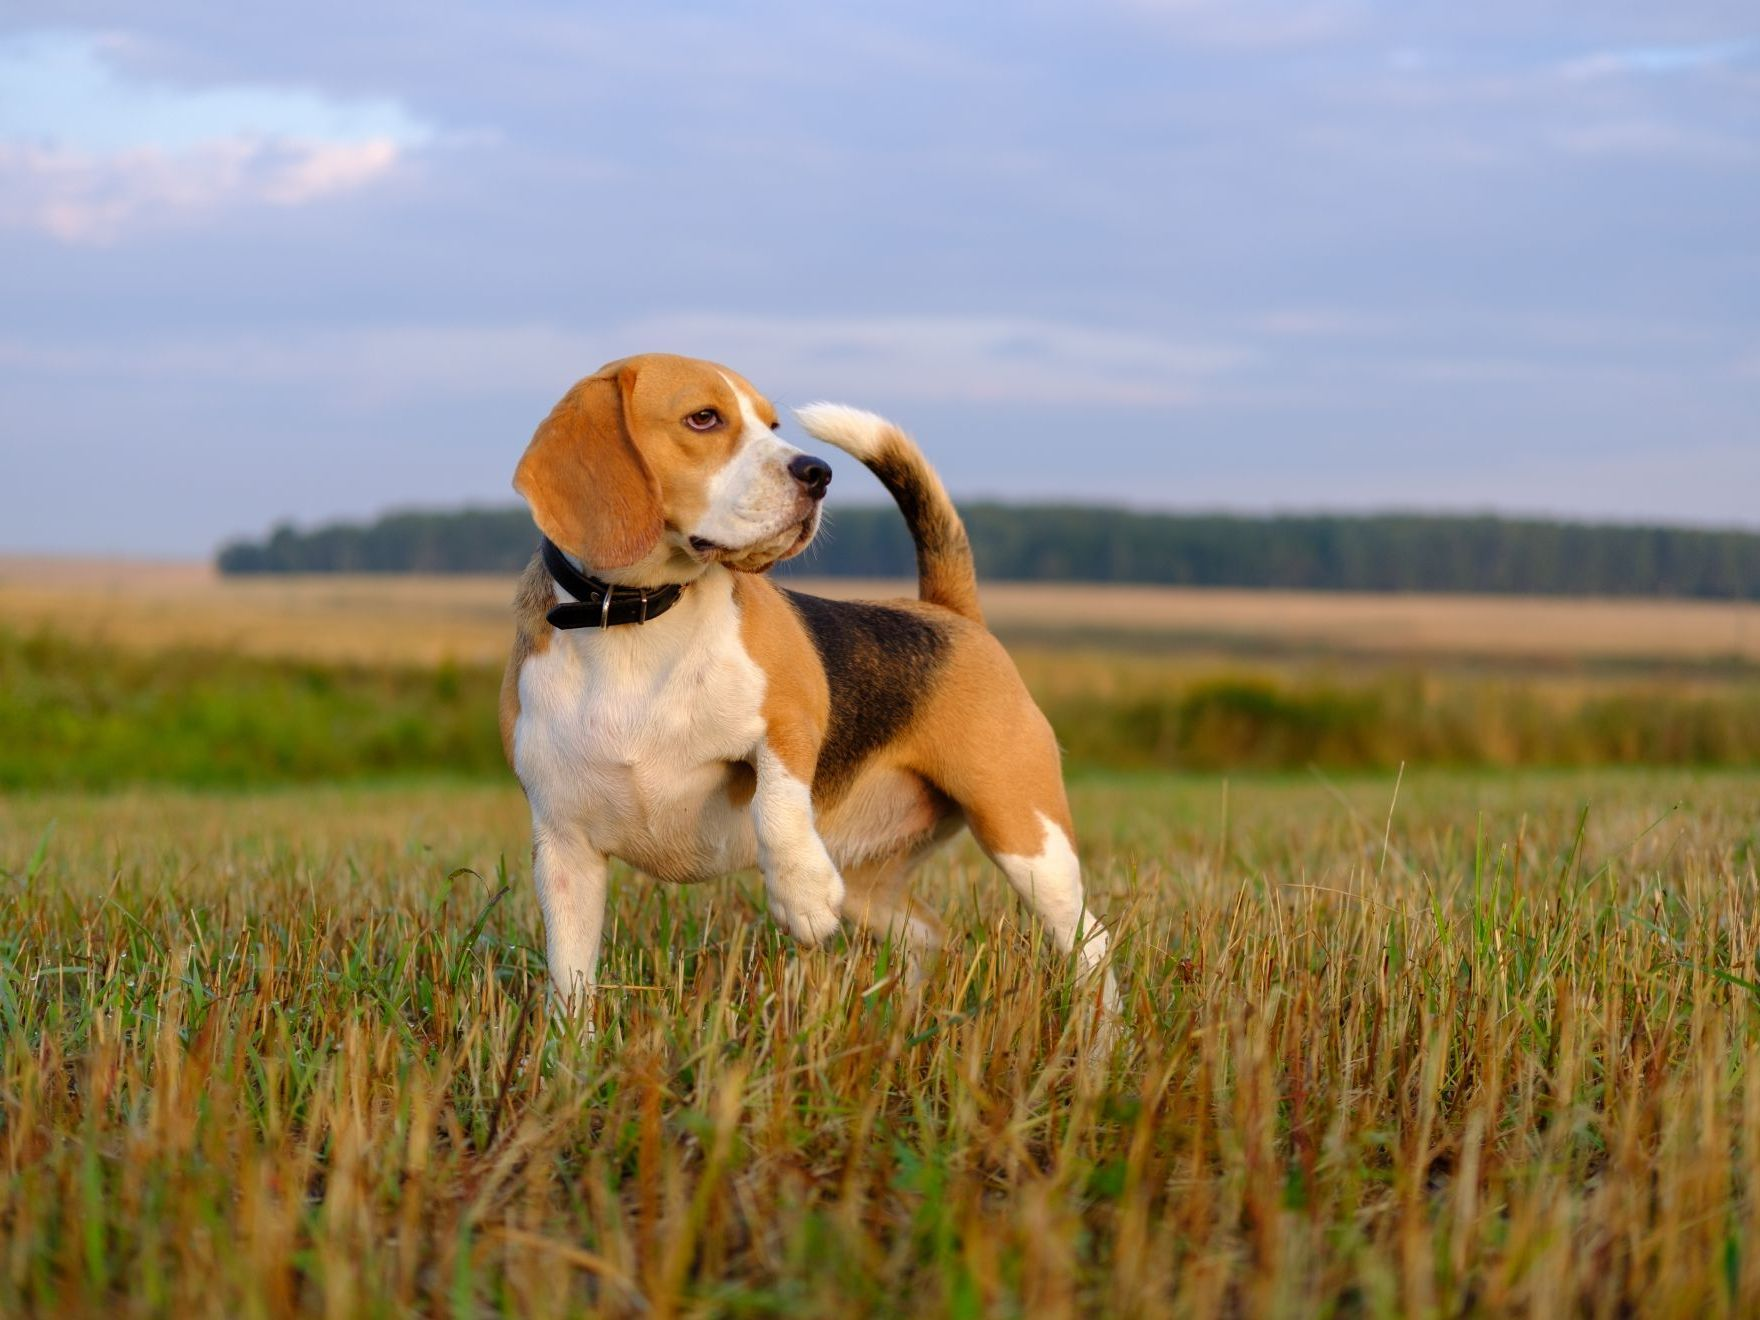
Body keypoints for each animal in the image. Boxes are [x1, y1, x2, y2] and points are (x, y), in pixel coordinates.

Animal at [503, 359, 1119, 1020]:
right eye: (704, 418)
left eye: (772, 424)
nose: (818, 473)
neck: (634, 621)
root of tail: (948, 612)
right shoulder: (564, 847)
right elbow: (570, 980)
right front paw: (573, 1045)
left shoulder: (792, 716)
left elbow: (776, 797)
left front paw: (800, 895)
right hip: (871, 882)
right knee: (929, 935)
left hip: (1024, 833)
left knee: (1091, 940)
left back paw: (1102, 1032)